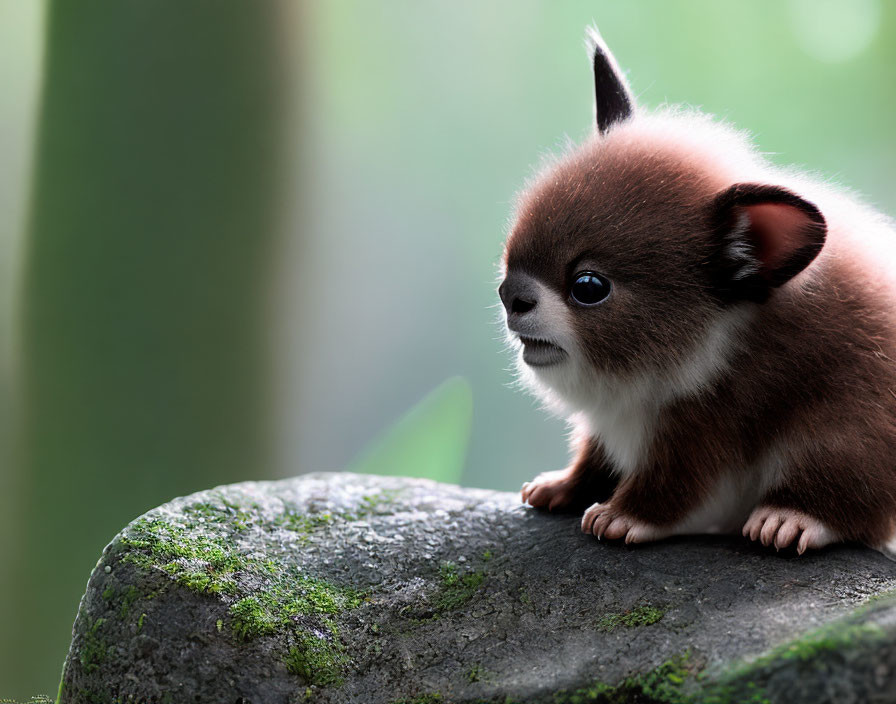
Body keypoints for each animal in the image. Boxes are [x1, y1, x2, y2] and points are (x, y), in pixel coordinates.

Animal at [500, 27, 896, 556]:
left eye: (588, 287)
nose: (509, 296)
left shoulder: (712, 424)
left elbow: (674, 485)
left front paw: (622, 515)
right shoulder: (610, 426)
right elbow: (593, 458)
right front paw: (561, 486)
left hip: (846, 433)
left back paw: (790, 518)